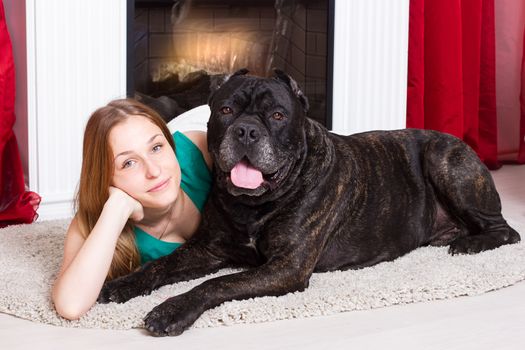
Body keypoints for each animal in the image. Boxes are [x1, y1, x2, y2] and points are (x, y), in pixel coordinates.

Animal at [98, 69, 520, 334]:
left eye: (277, 115)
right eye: (226, 110)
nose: (246, 130)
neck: (256, 205)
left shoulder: (286, 267)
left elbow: (217, 285)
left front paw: (170, 309)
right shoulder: (208, 249)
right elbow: (161, 266)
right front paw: (122, 285)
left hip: (443, 159)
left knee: (507, 231)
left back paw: (471, 244)